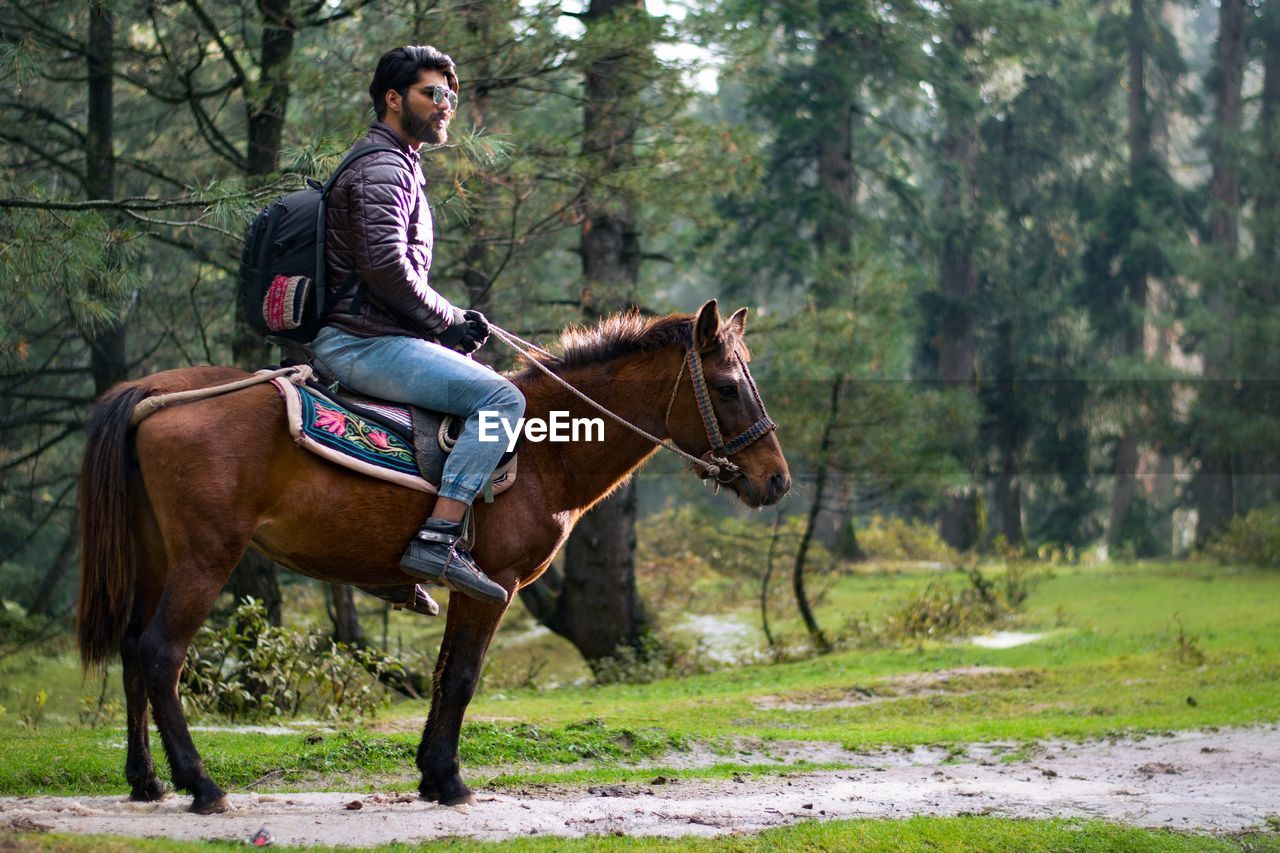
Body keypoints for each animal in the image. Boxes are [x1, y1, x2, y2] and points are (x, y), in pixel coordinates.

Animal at [77, 298, 788, 809]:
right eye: (728, 386)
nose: (777, 480)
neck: (545, 449)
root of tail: (150, 393)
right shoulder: (493, 584)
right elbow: (466, 677)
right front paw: (448, 780)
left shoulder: (467, 589)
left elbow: (445, 675)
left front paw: (429, 774)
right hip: (205, 558)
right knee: (161, 653)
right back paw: (201, 785)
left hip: (157, 559)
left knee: (133, 652)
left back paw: (146, 781)